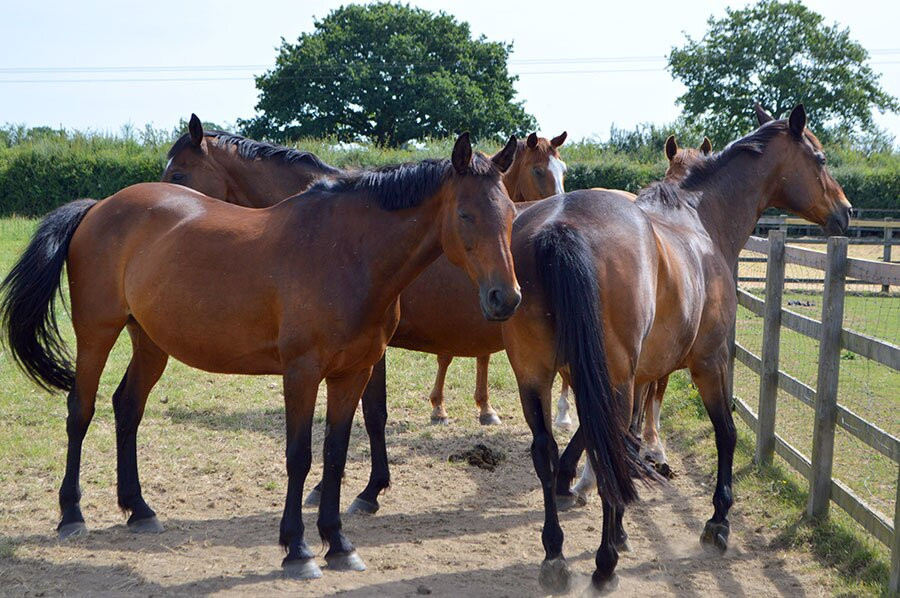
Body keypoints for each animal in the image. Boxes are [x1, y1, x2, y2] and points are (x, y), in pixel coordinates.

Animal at [0, 133, 522, 580]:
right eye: (466, 215)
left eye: (511, 213)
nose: (505, 298)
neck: (347, 253)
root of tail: (99, 207)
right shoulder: (302, 373)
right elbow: (300, 457)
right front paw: (298, 550)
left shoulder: (353, 372)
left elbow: (335, 455)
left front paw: (339, 544)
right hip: (96, 334)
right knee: (81, 411)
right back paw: (71, 514)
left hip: (150, 341)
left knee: (127, 408)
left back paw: (139, 509)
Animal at [500, 105, 850, 593]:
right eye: (819, 159)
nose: (846, 212)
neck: (699, 220)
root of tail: (561, 227)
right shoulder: (710, 363)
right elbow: (725, 432)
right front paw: (718, 522)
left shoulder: (637, 374)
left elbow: (619, 439)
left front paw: (610, 516)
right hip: (617, 375)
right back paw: (604, 565)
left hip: (535, 376)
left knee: (546, 451)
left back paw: (556, 556)